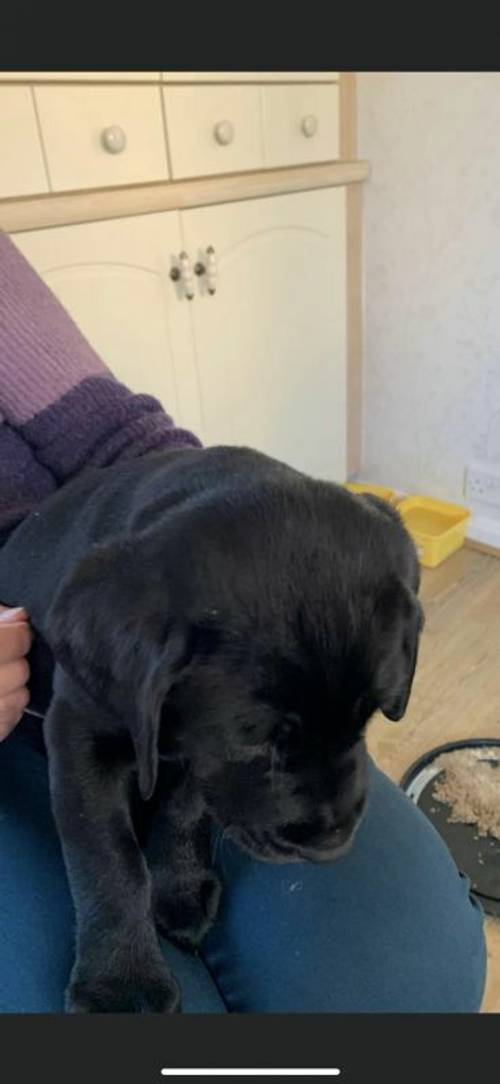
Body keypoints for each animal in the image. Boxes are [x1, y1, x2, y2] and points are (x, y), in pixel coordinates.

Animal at [0, 444, 422, 1010]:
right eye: (256, 740)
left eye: (370, 714)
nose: (332, 842)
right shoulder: (80, 731)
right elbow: (107, 856)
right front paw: (121, 984)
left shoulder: (196, 753)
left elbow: (187, 801)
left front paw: (179, 886)